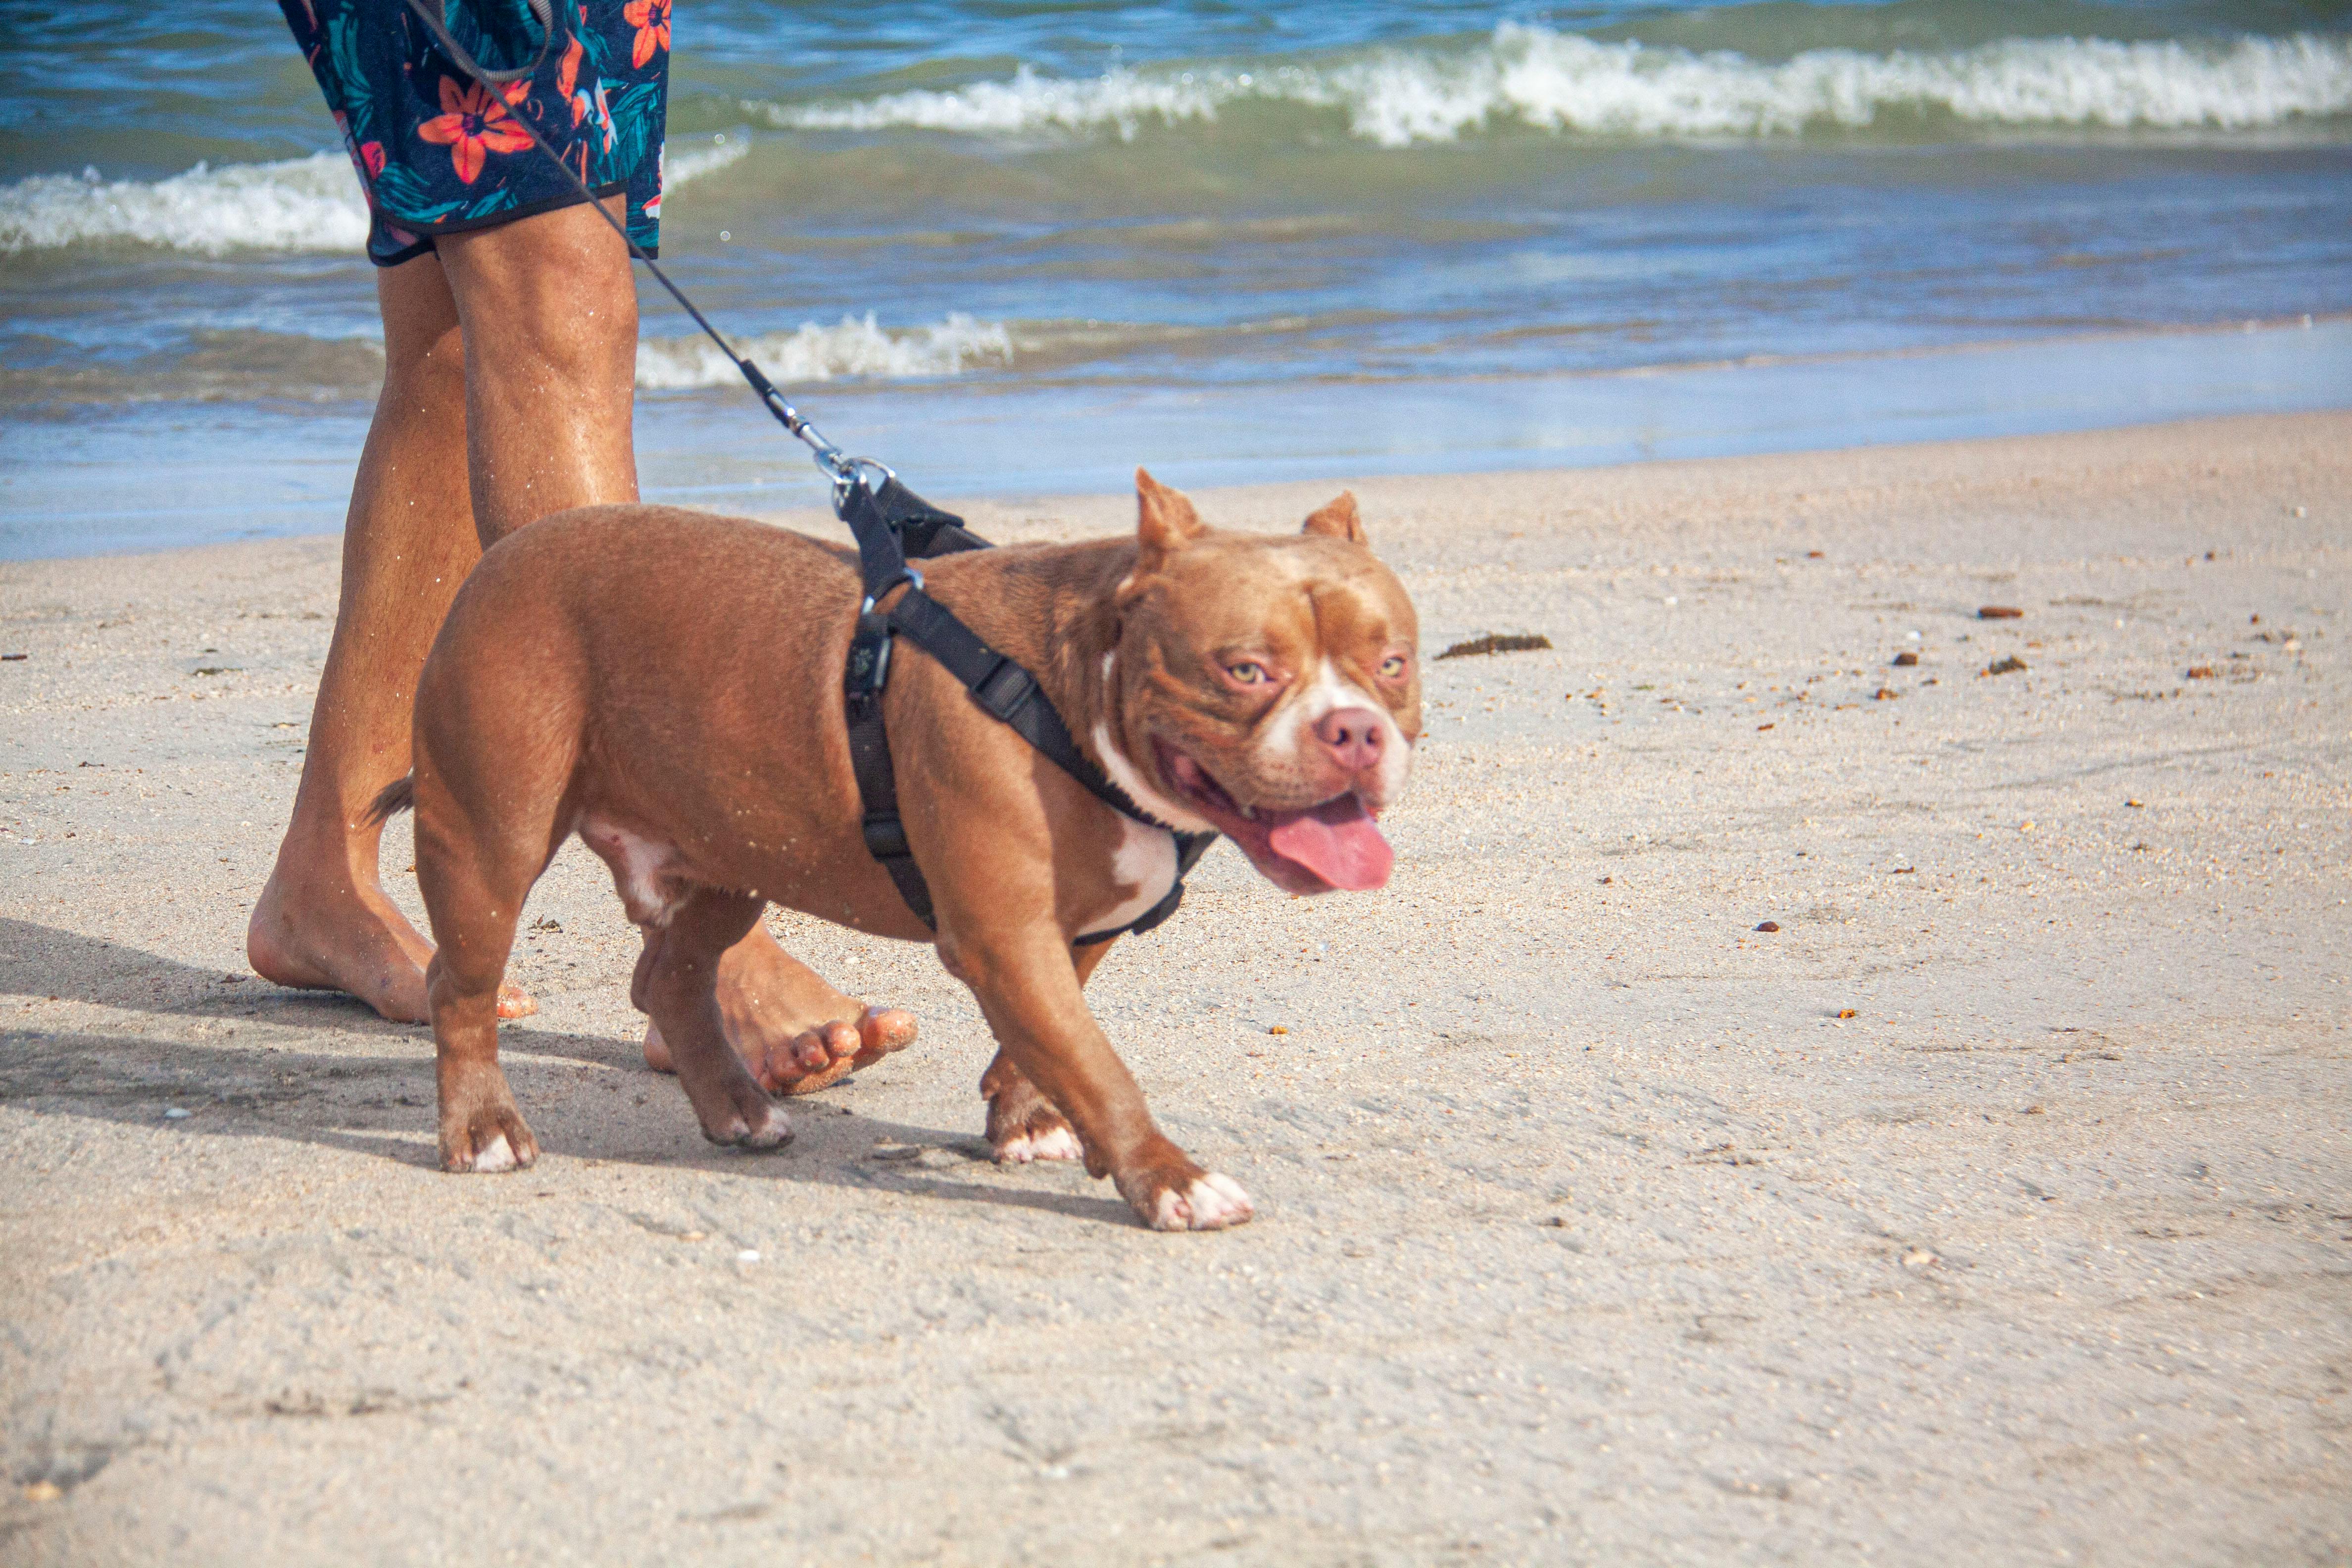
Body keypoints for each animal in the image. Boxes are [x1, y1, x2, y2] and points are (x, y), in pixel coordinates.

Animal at [376, 472, 1421, 1231]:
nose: (1355, 732)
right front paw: (1170, 1178)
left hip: (731, 853)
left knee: (671, 975)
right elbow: (1097, 1060)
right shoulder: (1006, 937)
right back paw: (484, 1129)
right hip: (492, 839)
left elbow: (1050, 1044)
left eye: (1393, 663)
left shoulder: (1068, 931)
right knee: (462, 989)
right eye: (1244, 669)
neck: (1071, 687)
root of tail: (501, 558)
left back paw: (738, 1108)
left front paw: (1027, 1119)